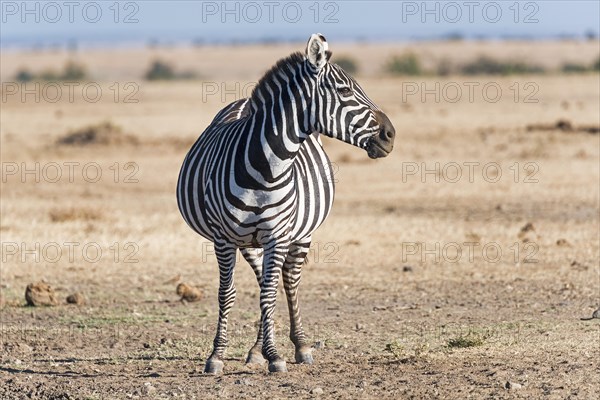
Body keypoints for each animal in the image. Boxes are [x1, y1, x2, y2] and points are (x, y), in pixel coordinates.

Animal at [177, 32, 394, 374]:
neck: (264, 169)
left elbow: (270, 293)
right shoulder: (223, 239)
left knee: (288, 282)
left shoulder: (278, 236)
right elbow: (228, 293)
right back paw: (256, 350)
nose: (390, 135)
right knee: (266, 283)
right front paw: (218, 355)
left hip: (301, 233)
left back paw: (299, 346)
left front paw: (276, 355)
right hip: (250, 242)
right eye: (345, 91)